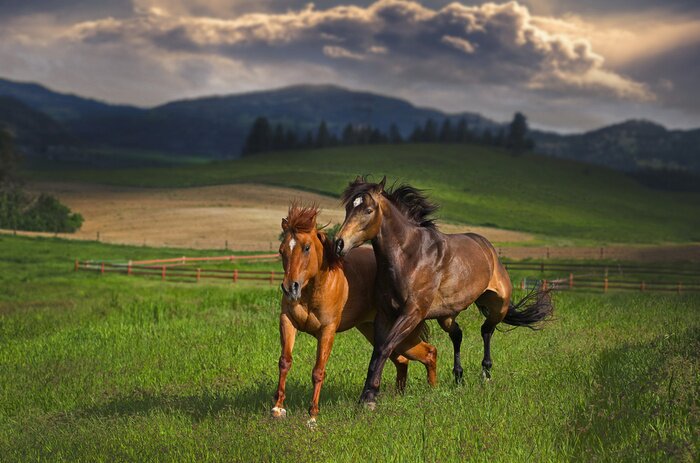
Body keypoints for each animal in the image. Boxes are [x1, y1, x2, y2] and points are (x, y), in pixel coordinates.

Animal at [272, 204, 440, 426]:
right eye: (282, 250)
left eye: (306, 247)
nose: (290, 288)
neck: (315, 289)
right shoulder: (287, 322)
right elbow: (285, 361)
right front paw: (277, 408)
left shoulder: (327, 331)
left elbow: (318, 371)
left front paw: (312, 416)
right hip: (374, 331)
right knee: (403, 359)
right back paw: (398, 396)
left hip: (402, 332)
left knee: (429, 352)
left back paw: (432, 392)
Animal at [334, 176, 554, 407]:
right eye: (348, 208)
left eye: (368, 210)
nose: (339, 243)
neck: (410, 257)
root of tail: (488, 248)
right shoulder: (385, 314)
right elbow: (378, 349)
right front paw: (367, 395)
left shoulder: (412, 313)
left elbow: (386, 347)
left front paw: (369, 398)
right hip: (446, 316)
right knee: (458, 334)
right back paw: (458, 376)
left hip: (498, 306)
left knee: (486, 330)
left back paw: (485, 374)